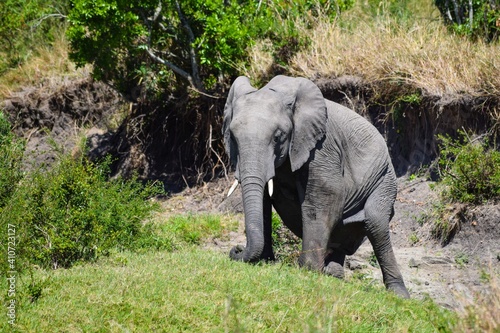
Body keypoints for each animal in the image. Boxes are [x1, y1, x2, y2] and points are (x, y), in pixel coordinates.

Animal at [223, 76, 410, 298]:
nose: (236, 249)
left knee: (375, 222)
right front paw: (265, 262)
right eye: (233, 137)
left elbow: (325, 197)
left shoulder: (323, 148)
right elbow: (263, 202)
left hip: (385, 179)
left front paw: (307, 270)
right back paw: (333, 274)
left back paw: (399, 295)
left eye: (278, 137)